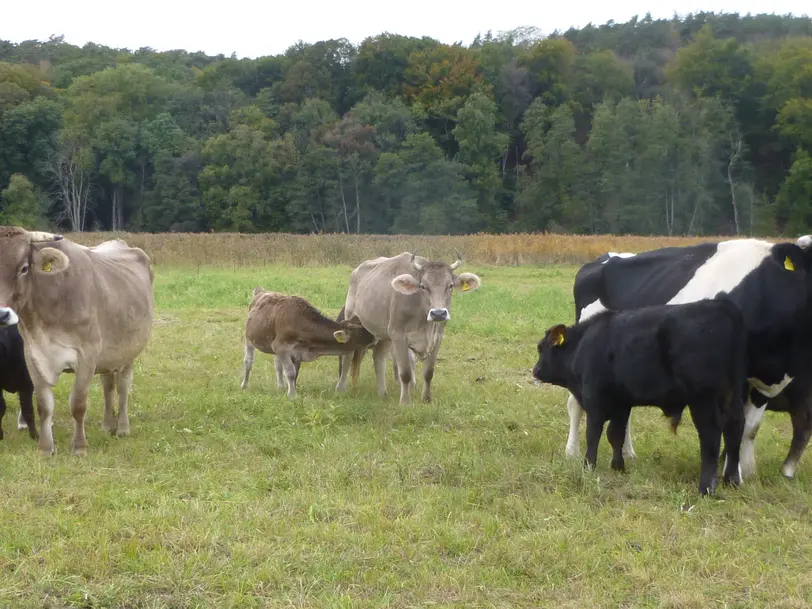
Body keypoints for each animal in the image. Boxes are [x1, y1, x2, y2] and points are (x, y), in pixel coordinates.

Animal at [0, 226, 155, 454]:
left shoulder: (86, 356)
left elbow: (78, 404)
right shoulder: (33, 356)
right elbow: (44, 406)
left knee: (123, 386)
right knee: (108, 384)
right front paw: (45, 448)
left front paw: (79, 447)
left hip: (128, 351)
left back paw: (122, 427)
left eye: (24, 268)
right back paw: (107, 424)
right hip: (107, 355)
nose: (2, 314)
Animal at [241, 286, 378, 400]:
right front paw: (292, 395)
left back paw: (280, 387)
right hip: (249, 337)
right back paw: (244, 385)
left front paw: (291, 389)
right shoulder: (280, 346)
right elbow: (290, 372)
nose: (376, 337)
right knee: (248, 361)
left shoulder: (296, 352)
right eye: (362, 333)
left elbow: (294, 372)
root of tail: (261, 291)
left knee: (278, 365)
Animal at [336, 251, 482, 404]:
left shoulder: (437, 338)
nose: (438, 313)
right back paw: (340, 388)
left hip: (384, 333)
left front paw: (426, 399)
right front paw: (405, 402)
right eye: (423, 286)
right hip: (351, 318)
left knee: (379, 358)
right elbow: (405, 372)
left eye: (450, 286)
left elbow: (428, 372)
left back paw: (382, 393)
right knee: (348, 355)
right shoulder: (398, 335)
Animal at [532, 298, 748, 494]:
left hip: (703, 398)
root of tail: (719, 305)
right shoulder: (621, 404)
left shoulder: (595, 402)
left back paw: (706, 488)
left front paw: (588, 466)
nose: (535, 370)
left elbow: (593, 435)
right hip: (734, 392)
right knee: (735, 427)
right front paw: (618, 466)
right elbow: (615, 435)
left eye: (541, 347)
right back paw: (731, 480)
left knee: (711, 436)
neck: (584, 344)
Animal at [560, 235, 812, 478]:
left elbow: (750, 427)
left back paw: (628, 453)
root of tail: (605, 258)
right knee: (575, 403)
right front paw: (735, 473)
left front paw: (746, 471)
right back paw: (571, 452)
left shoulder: (767, 377)